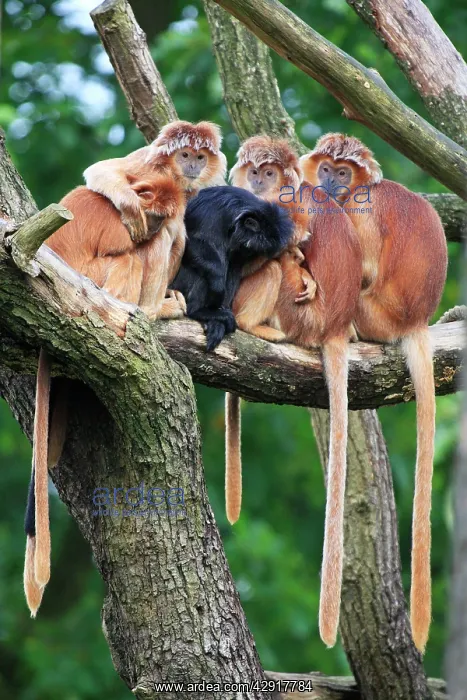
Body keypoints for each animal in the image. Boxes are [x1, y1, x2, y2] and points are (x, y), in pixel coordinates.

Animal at [24, 172, 186, 618]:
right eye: (152, 213)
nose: (151, 225)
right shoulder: (123, 226)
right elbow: (132, 247)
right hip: (92, 279)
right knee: (130, 257)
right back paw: (146, 312)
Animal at [83, 120, 227, 243]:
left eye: (200, 157)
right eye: (185, 155)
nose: (193, 166)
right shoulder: (144, 160)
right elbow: (101, 169)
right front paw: (131, 209)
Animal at [171, 185, 294, 351]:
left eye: (253, 252)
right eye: (248, 247)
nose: (246, 253)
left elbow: (235, 267)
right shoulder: (212, 211)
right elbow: (189, 240)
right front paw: (218, 285)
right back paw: (198, 311)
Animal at [301, 133, 448, 652]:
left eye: (343, 174)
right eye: (327, 168)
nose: (328, 183)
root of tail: (415, 320)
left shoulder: (358, 207)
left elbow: (359, 263)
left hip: (373, 313)